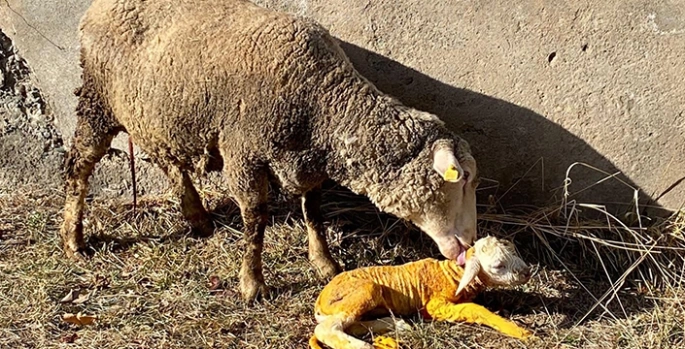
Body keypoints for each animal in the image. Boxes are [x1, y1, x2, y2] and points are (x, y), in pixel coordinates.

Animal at [61, 0, 478, 300]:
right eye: (461, 180)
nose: (469, 244)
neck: (322, 100)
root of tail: (97, 7)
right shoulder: (243, 153)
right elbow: (256, 219)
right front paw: (252, 284)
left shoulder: (306, 162)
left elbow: (314, 213)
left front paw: (325, 264)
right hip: (98, 102)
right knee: (79, 166)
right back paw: (73, 239)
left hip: (156, 113)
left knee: (168, 162)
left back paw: (198, 218)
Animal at [308, 234, 536, 348]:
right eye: (498, 266)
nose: (527, 272)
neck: (453, 273)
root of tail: (320, 300)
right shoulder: (434, 306)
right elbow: (473, 309)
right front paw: (521, 332)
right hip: (362, 291)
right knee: (325, 329)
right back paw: (362, 346)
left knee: (351, 323)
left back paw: (396, 324)